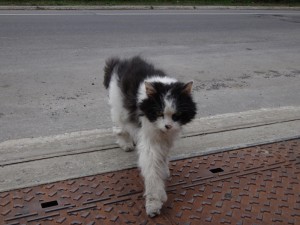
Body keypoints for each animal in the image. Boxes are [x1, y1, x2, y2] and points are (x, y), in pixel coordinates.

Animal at [103, 55, 197, 216]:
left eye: (176, 115)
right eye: (159, 113)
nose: (168, 126)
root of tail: (120, 62)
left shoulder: (166, 140)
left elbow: (163, 159)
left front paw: (164, 170)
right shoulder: (150, 144)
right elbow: (153, 173)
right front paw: (154, 203)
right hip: (119, 108)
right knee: (119, 128)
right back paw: (126, 144)